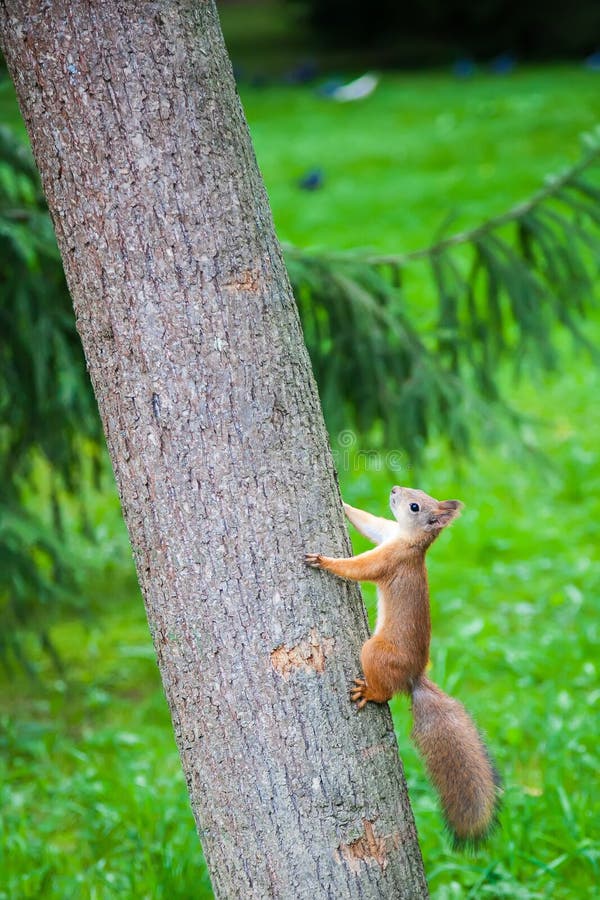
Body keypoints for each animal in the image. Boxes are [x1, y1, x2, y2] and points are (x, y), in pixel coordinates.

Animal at [308, 486, 500, 844]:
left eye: (414, 506)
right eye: (419, 495)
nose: (394, 489)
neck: (408, 539)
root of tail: (413, 677)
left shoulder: (389, 559)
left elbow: (358, 569)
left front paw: (325, 562)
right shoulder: (386, 532)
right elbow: (368, 522)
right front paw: (343, 502)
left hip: (375, 652)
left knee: (385, 692)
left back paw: (369, 692)